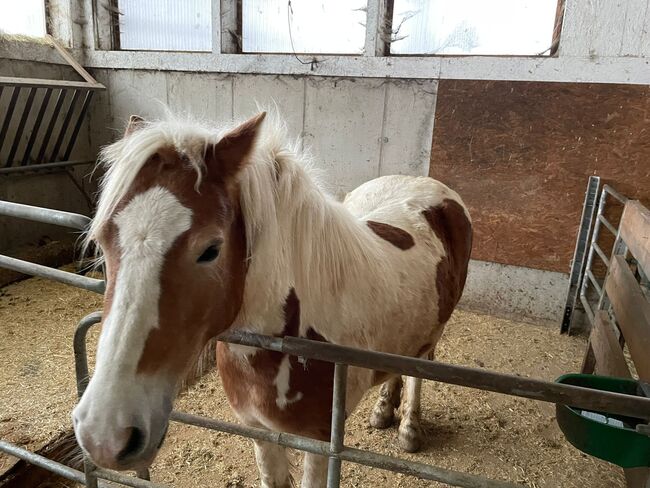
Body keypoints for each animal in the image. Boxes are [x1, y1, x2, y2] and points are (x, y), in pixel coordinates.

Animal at [72, 111, 470, 488]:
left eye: (210, 249)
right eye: (103, 241)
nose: (104, 435)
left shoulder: (320, 442)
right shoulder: (257, 428)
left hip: (434, 331)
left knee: (421, 365)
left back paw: (409, 428)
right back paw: (384, 410)